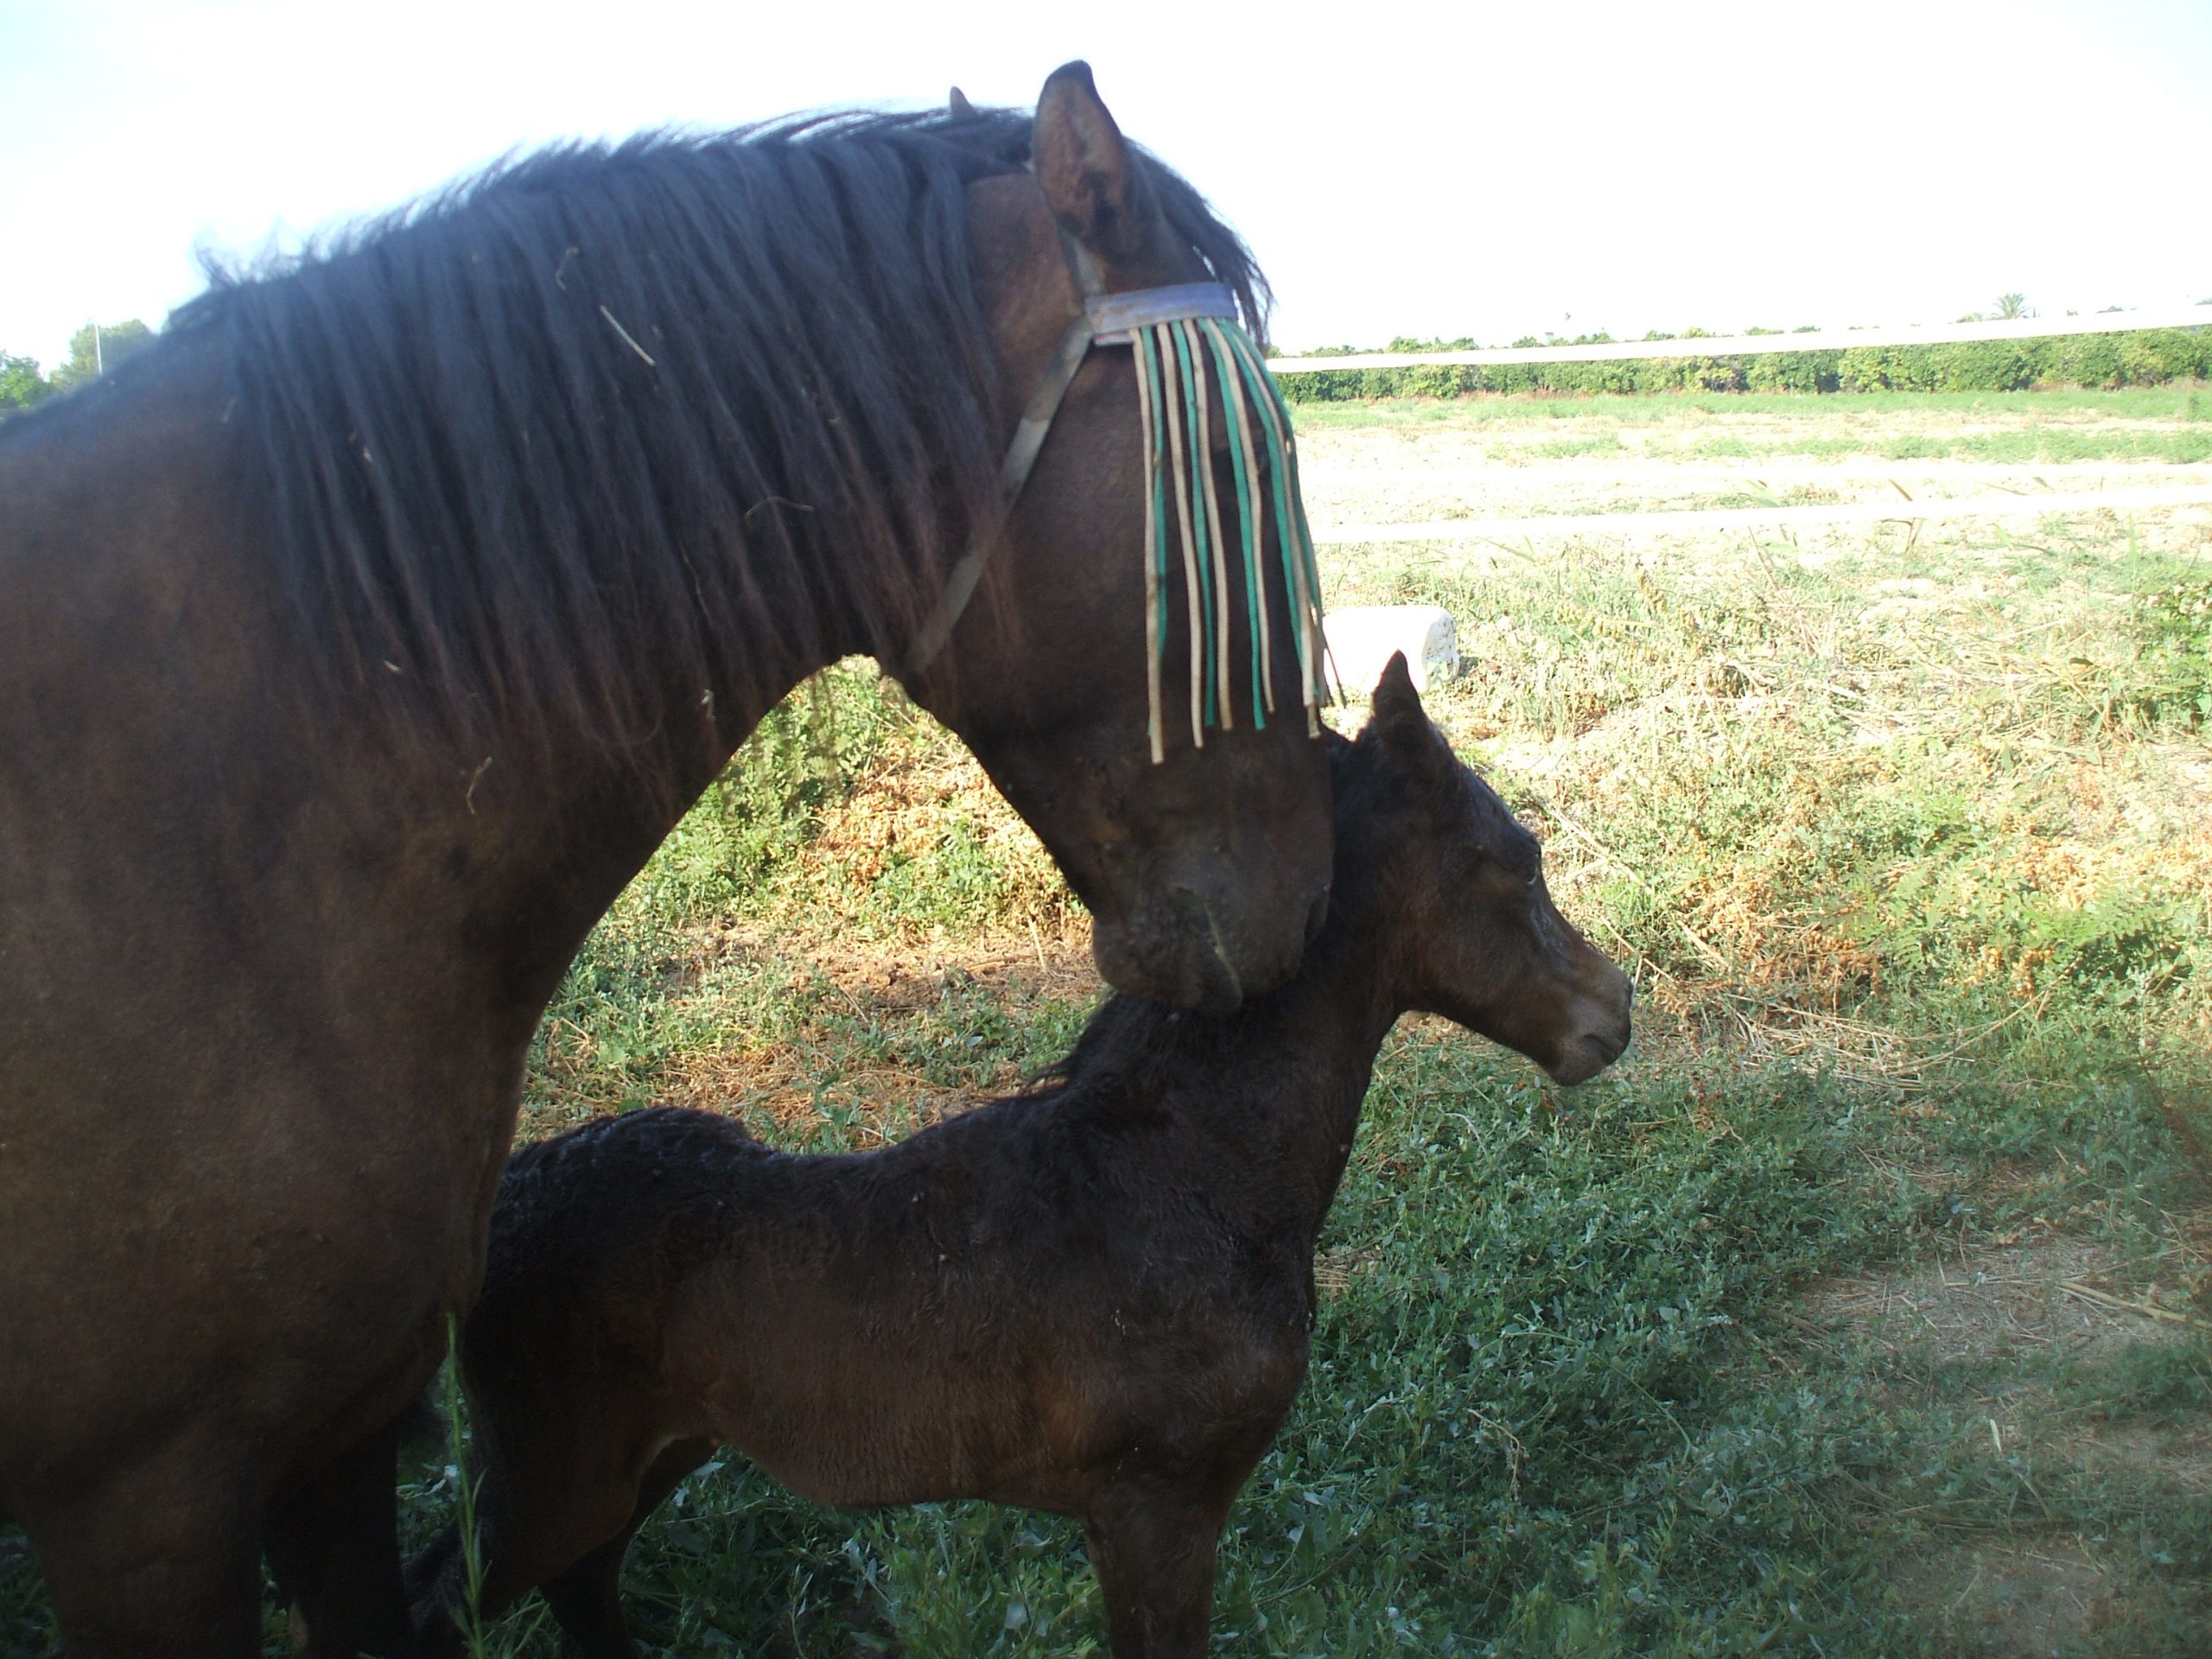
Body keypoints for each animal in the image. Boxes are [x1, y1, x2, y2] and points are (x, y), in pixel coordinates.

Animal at [406, 654, 1633, 1658]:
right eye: (1516, 860)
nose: (1613, 1012)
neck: (1187, 1177)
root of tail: (500, 1211)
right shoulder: (1158, 1508)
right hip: (554, 1477)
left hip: (646, 1459)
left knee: (582, 1589)